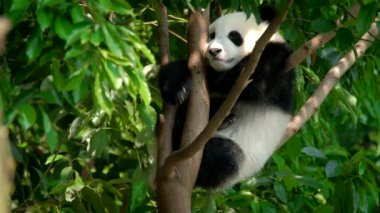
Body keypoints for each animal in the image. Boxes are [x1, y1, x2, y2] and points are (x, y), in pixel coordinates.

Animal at [159, 6, 296, 190]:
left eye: (234, 36)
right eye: (212, 35)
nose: (214, 51)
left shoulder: (281, 74)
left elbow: (254, 81)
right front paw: (175, 87)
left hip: (243, 156)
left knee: (223, 156)